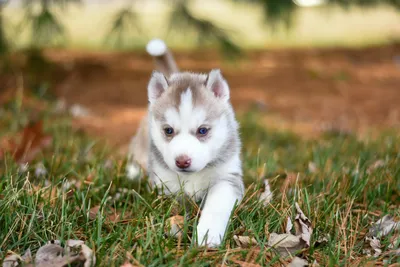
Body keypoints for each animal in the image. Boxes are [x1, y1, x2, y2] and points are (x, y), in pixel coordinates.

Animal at [126, 38, 244, 248]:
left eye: (202, 130)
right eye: (168, 131)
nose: (182, 161)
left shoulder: (228, 178)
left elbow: (217, 204)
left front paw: (207, 234)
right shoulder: (164, 185)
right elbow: (173, 204)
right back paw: (133, 172)